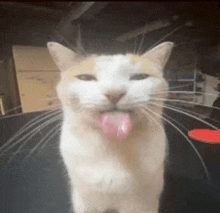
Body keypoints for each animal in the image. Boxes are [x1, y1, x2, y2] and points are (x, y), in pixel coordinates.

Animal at [46, 40, 174, 213]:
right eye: (85, 77)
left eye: (140, 77)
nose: (114, 93)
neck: (113, 146)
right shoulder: (86, 202)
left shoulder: (141, 204)